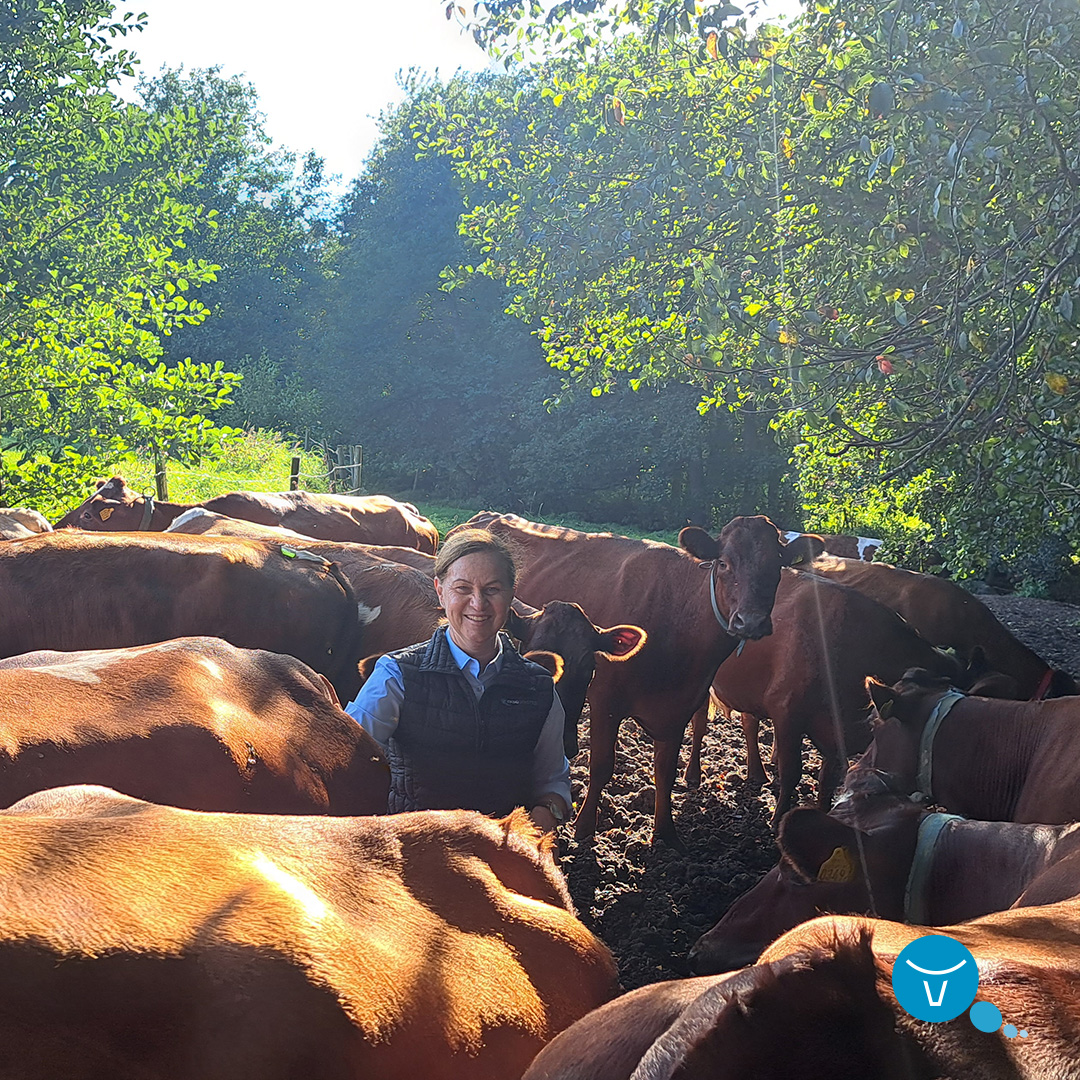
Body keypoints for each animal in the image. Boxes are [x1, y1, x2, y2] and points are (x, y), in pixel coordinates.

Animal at [457, 512, 820, 847]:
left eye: (776, 567)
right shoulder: (604, 700)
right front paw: (585, 827)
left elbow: (665, 771)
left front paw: (665, 832)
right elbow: (602, 765)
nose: (751, 621)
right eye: (724, 563)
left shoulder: (679, 708)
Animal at [687, 572, 965, 828]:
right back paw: (692, 775)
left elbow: (827, 779)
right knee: (699, 723)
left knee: (749, 722)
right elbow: (792, 772)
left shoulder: (834, 733)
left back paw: (757, 773)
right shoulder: (786, 713)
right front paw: (778, 820)